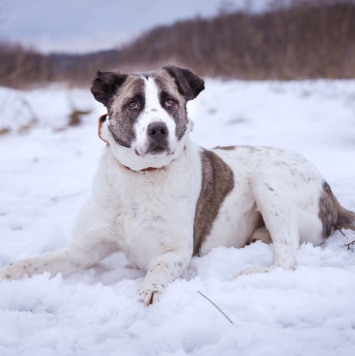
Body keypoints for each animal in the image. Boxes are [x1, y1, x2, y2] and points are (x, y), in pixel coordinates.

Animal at [0, 65, 355, 304]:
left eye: (170, 102)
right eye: (133, 104)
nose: (158, 129)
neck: (140, 177)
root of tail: (330, 192)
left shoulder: (175, 252)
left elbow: (157, 269)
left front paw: (149, 290)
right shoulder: (81, 251)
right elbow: (33, 262)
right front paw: (7, 272)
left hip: (270, 183)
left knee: (288, 258)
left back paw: (251, 272)